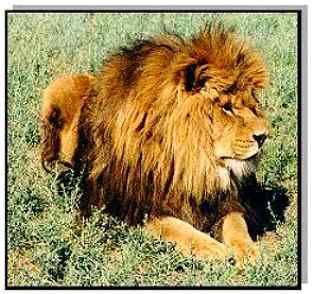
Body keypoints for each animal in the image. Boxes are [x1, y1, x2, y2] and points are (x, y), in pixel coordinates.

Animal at [40, 24, 270, 266]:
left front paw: (248, 250)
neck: (188, 162)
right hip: (62, 84)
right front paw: (212, 248)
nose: (263, 136)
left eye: (251, 105)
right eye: (226, 108)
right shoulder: (126, 207)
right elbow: (173, 226)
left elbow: (236, 223)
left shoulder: (225, 201)